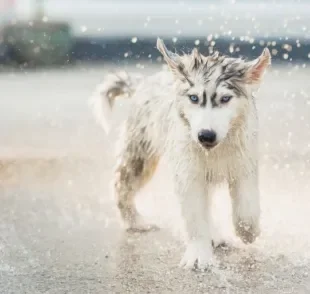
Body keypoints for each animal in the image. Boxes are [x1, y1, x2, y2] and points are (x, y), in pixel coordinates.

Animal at [91, 39, 270, 272]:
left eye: (225, 99)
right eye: (193, 98)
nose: (205, 135)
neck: (215, 150)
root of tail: (145, 82)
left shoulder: (244, 163)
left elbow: (247, 210)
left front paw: (248, 232)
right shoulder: (188, 172)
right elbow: (194, 215)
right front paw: (199, 255)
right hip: (141, 154)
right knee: (122, 185)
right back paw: (135, 221)